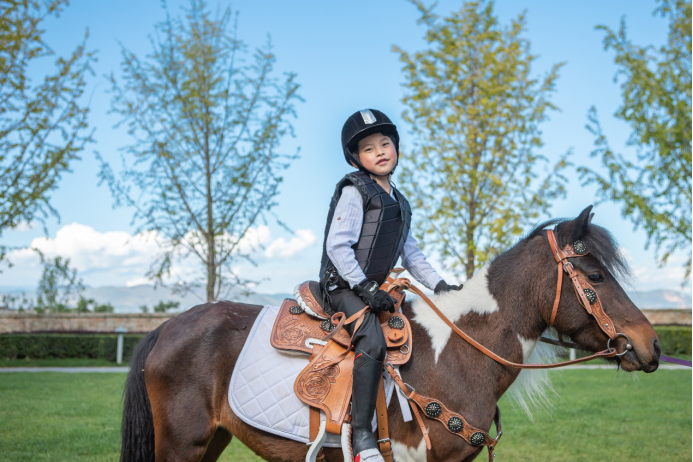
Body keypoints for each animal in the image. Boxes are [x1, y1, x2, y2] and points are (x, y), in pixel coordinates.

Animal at [120, 208, 660, 460]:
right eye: (596, 275)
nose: (652, 344)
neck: (457, 353)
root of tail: (167, 327)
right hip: (183, 444)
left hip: (209, 440)